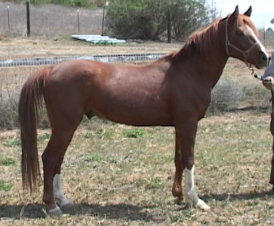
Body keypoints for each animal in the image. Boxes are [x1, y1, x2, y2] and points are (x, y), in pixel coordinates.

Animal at [18, 6, 270, 215]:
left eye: (255, 30)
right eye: (240, 33)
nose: (265, 57)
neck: (190, 71)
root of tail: (50, 69)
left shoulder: (180, 125)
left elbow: (178, 159)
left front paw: (178, 196)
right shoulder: (189, 123)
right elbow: (189, 159)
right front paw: (196, 200)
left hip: (66, 127)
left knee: (57, 160)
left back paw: (62, 200)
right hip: (65, 126)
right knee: (50, 158)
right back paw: (52, 205)